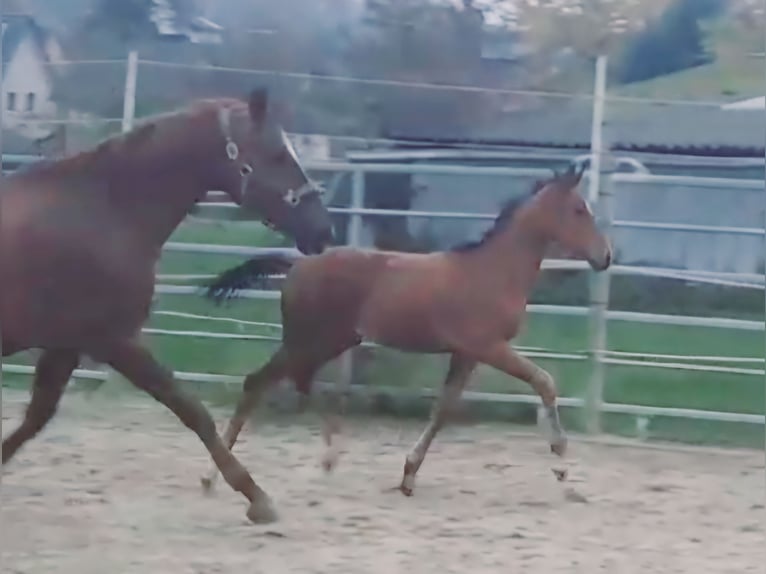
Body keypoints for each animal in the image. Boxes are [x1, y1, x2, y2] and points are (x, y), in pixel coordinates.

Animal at [0, 88, 336, 524]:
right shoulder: (115, 341)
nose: (323, 232)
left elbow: (35, 418)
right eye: (278, 154)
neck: (107, 211)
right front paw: (257, 498)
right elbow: (191, 409)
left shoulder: (67, 345)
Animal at [201, 163, 616, 500]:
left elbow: (443, 408)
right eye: (579, 210)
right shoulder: (488, 346)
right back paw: (215, 477)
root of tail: (297, 265)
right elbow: (544, 381)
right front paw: (561, 465)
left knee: (296, 382)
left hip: (330, 340)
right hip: (308, 339)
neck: (493, 271)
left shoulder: (466, 353)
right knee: (260, 382)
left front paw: (408, 474)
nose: (606, 256)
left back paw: (325, 458)